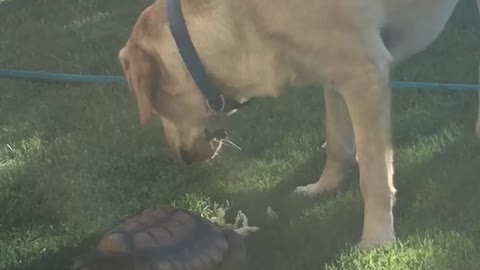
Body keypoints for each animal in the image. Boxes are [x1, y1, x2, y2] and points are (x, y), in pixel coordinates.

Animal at [119, 0, 480, 250]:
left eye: (156, 105)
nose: (181, 157)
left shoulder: (364, 74)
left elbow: (374, 177)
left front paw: (377, 239)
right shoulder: (335, 73)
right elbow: (337, 141)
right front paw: (325, 187)